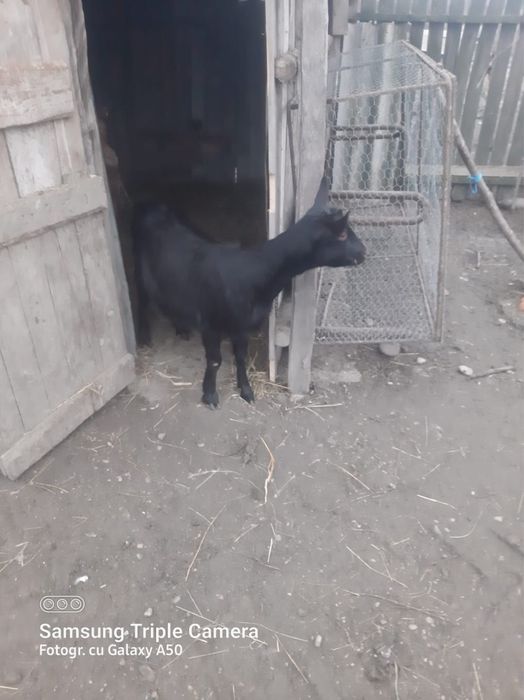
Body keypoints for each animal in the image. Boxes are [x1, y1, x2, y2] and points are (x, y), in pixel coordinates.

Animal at [133, 179, 366, 407]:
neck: (252, 275)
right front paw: (210, 395)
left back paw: (181, 329)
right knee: (142, 301)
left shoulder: (242, 326)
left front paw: (246, 390)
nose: (364, 251)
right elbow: (215, 361)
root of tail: (152, 205)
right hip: (140, 271)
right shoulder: (210, 323)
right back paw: (144, 337)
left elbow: (241, 357)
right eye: (342, 234)